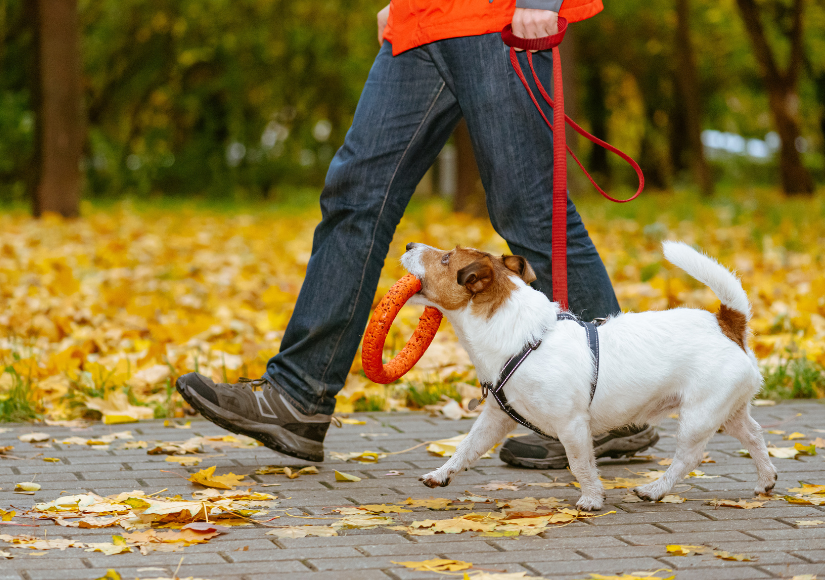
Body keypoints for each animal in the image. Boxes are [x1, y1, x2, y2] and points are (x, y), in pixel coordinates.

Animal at [402, 239, 776, 508]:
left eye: (445, 258)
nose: (407, 245)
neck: (521, 336)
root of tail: (727, 323)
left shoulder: (572, 425)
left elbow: (581, 464)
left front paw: (592, 499)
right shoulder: (496, 417)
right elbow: (465, 448)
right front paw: (441, 474)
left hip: (698, 416)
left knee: (687, 458)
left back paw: (655, 489)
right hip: (729, 412)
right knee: (755, 436)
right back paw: (766, 479)